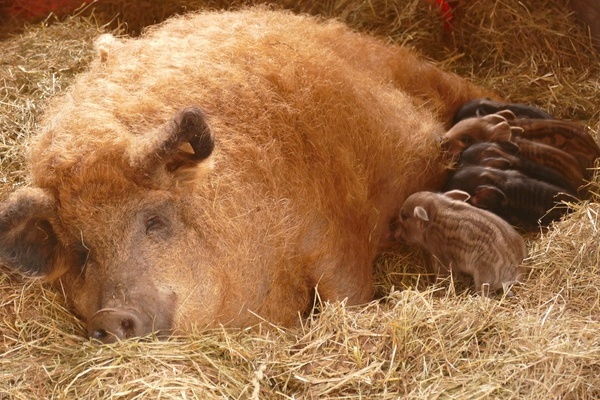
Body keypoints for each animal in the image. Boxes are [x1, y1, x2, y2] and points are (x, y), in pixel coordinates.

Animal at [0, 7, 492, 342]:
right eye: (82, 252)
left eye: (155, 221)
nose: (108, 318)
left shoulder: (333, 233)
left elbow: (346, 295)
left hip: (425, 76)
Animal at [396, 189, 528, 296]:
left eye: (404, 216)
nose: (396, 235)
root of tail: (518, 271)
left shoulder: (440, 257)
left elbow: (443, 276)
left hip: (483, 276)